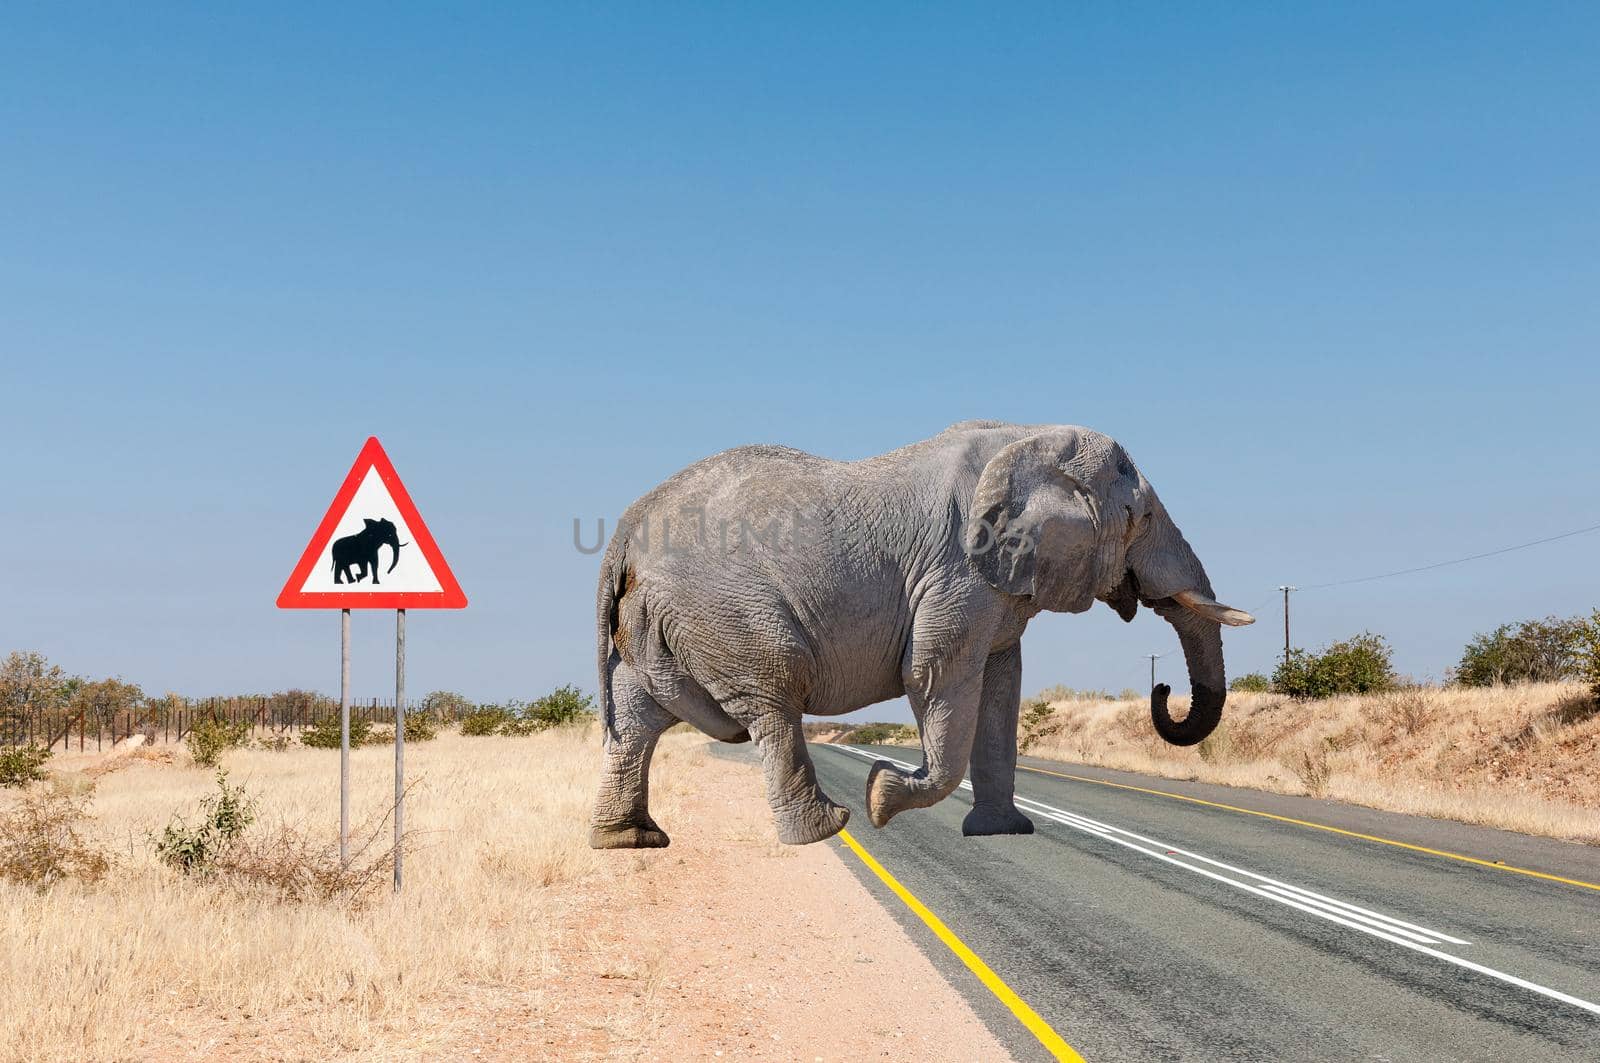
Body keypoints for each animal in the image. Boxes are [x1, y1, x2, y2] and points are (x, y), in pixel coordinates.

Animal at [588, 422, 1248, 845]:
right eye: (1140, 518)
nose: (1164, 691)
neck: (1028, 438)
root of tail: (625, 531)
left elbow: (1001, 686)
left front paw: (1002, 833)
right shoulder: (958, 571)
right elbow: (935, 673)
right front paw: (883, 795)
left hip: (660, 617)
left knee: (637, 716)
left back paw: (630, 841)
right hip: (726, 610)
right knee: (772, 696)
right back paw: (828, 829)